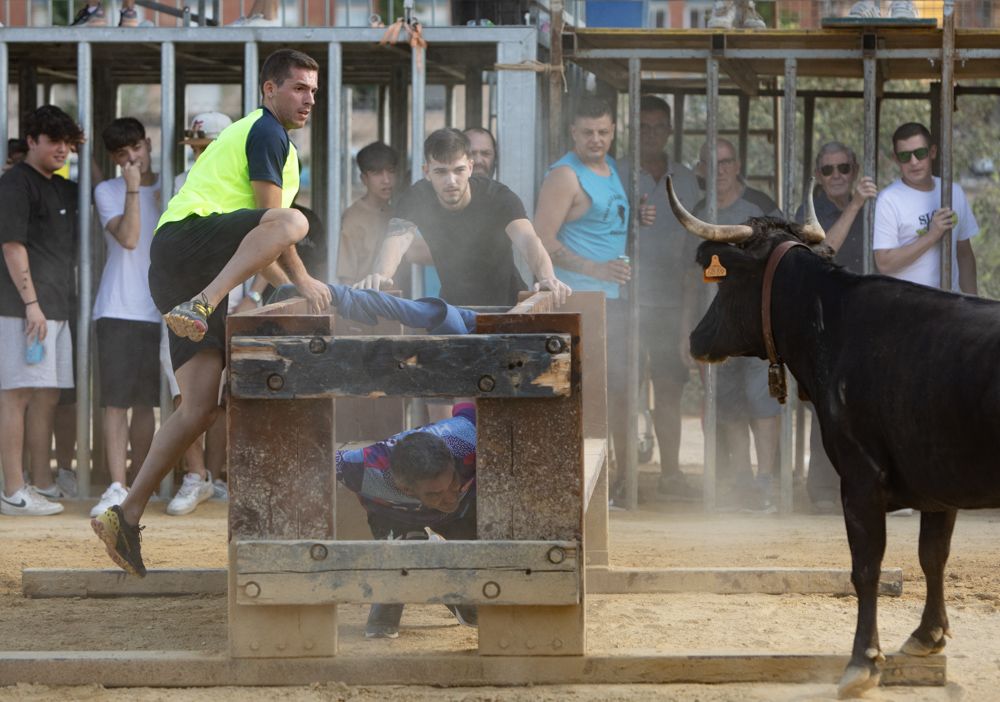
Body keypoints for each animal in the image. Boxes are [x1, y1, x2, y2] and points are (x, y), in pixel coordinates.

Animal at [668, 180, 1000, 700]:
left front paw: (862, 661)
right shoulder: (936, 482)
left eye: (724, 282)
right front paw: (927, 636)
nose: (695, 339)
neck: (834, 323)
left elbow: (866, 568)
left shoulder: (860, 478)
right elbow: (933, 556)